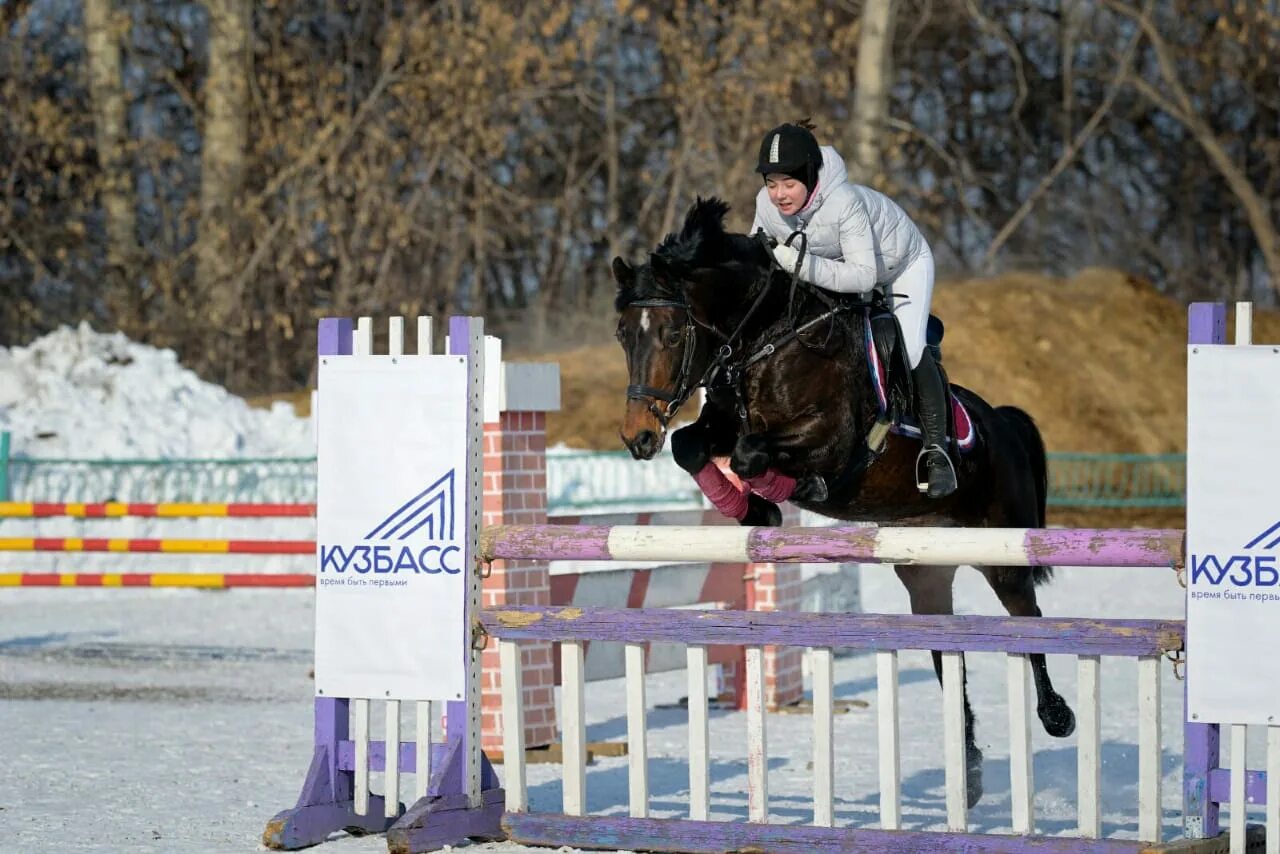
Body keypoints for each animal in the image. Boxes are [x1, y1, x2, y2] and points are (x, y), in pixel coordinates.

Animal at [614, 195, 1075, 809]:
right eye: (623, 334)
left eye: (669, 334)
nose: (638, 437)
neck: (767, 339)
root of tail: (1001, 420)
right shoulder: (720, 424)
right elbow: (696, 445)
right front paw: (756, 510)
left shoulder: (833, 439)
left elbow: (753, 454)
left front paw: (789, 494)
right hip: (925, 570)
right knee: (946, 651)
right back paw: (970, 770)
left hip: (1002, 551)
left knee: (1029, 620)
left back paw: (1056, 716)